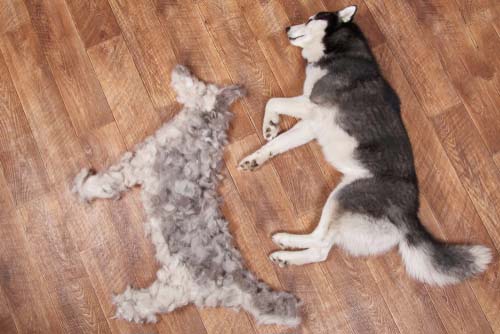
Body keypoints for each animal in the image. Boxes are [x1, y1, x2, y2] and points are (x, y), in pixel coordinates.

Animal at [239, 5, 492, 284]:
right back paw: (286, 248)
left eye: (312, 18)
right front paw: (257, 156)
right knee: (320, 247)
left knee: (321, 244)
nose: (286, 28)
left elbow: (272, 101)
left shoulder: (312, 103)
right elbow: (279, 142)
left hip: (345, 195)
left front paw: (270, 123)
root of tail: (409, 216)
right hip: (342, 199)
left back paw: (286, 247)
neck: (339, 50)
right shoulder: (311, 124)